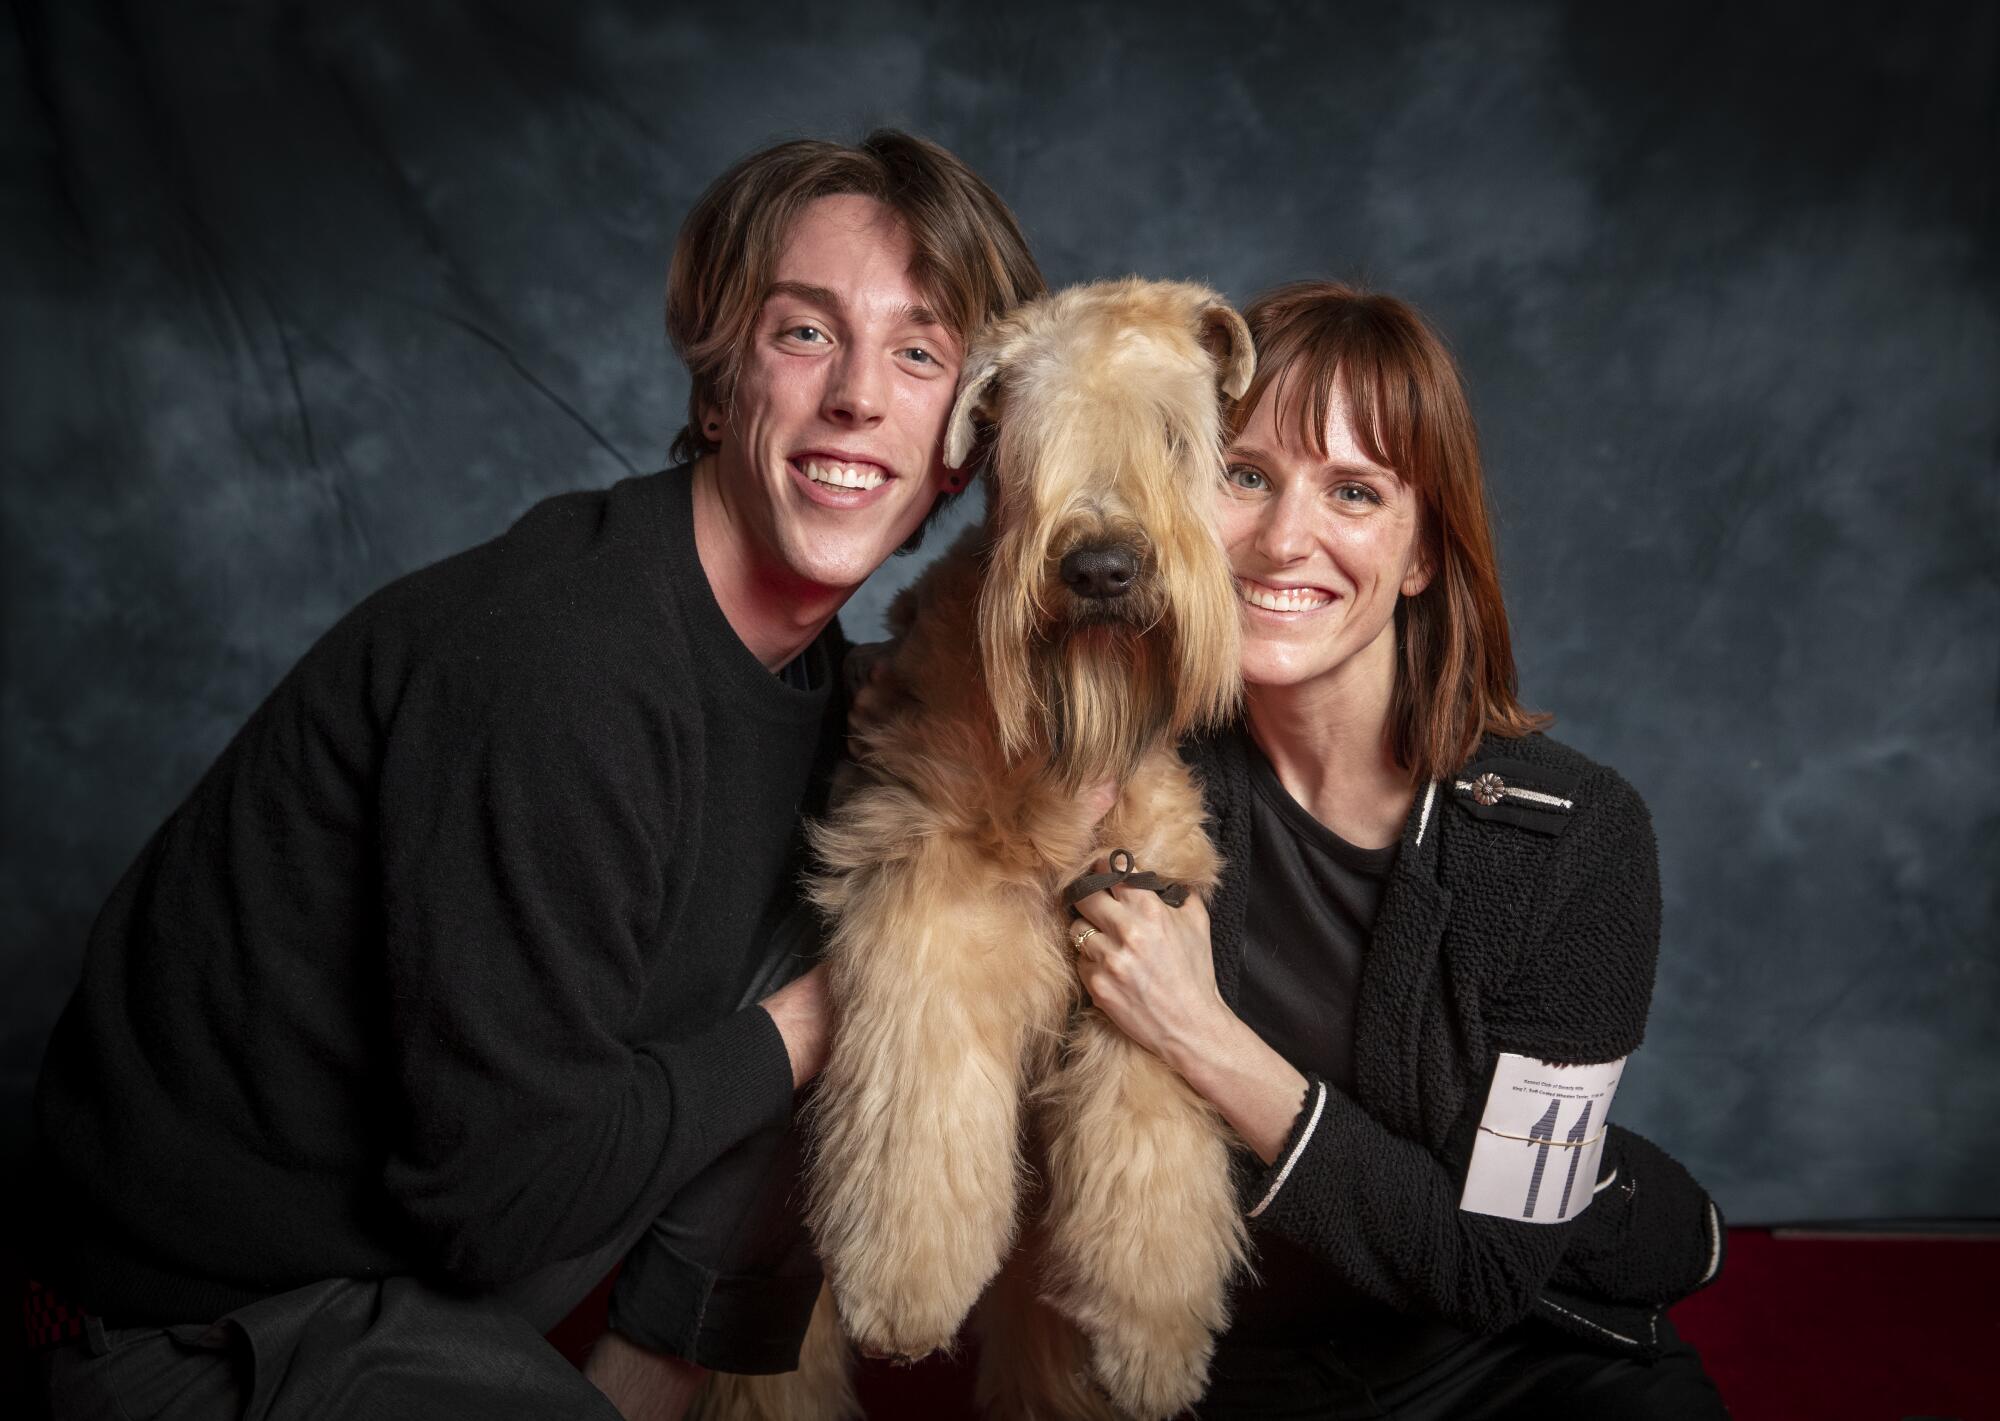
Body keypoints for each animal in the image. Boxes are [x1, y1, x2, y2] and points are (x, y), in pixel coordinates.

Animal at [716, 280, 1248, 1421]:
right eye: (1025, 441)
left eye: (1175, 434)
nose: (1101, 567)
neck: (1060, 759)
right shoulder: (935, 898)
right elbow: (923, 1108)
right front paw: (905, 1291)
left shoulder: (1145, 934)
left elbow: (1151, 1152)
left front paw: (1152, 1339)